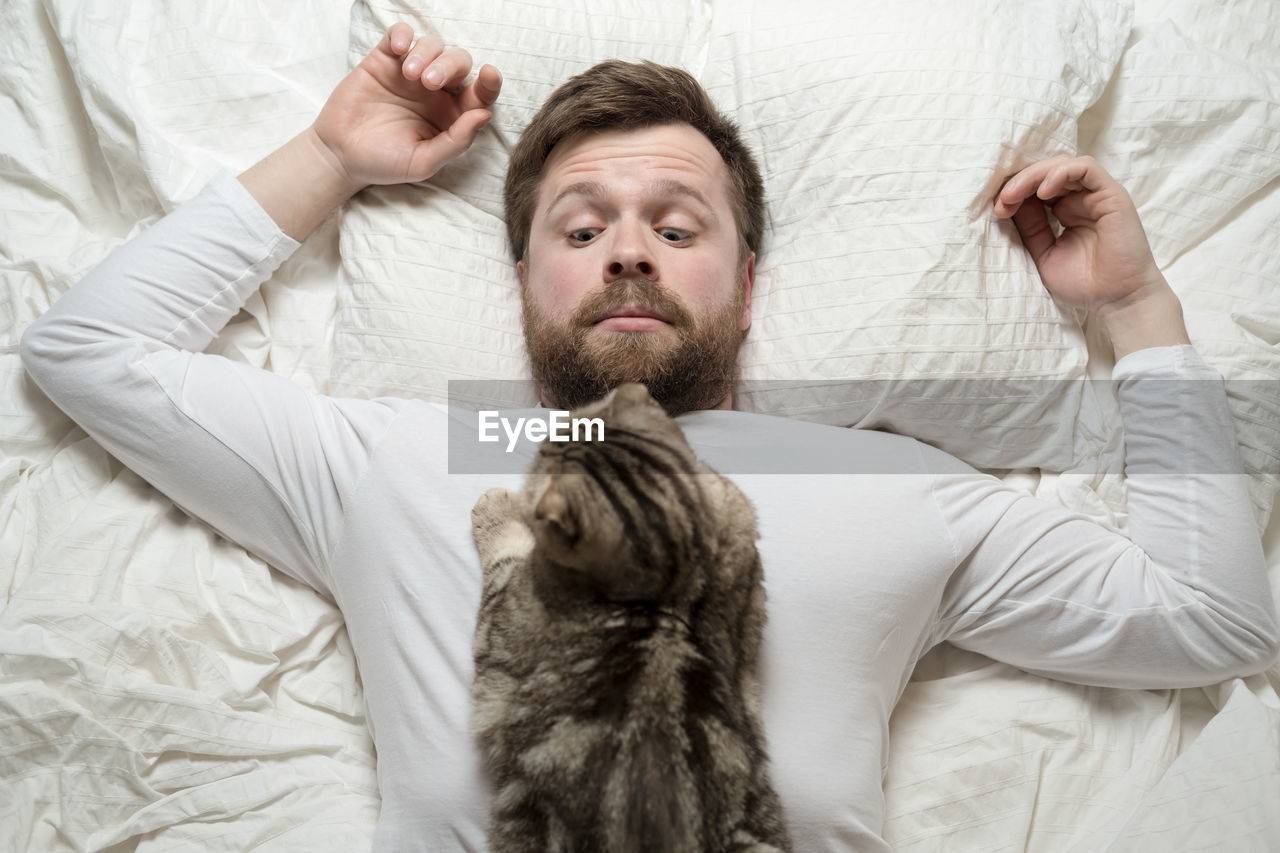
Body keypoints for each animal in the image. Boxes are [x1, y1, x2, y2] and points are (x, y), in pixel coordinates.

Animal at [471, 381, 788, 845]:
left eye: (544, 453)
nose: (537, 446)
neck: (676, 581)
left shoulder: (499, 636)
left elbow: (505, 552)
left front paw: (496, 505)